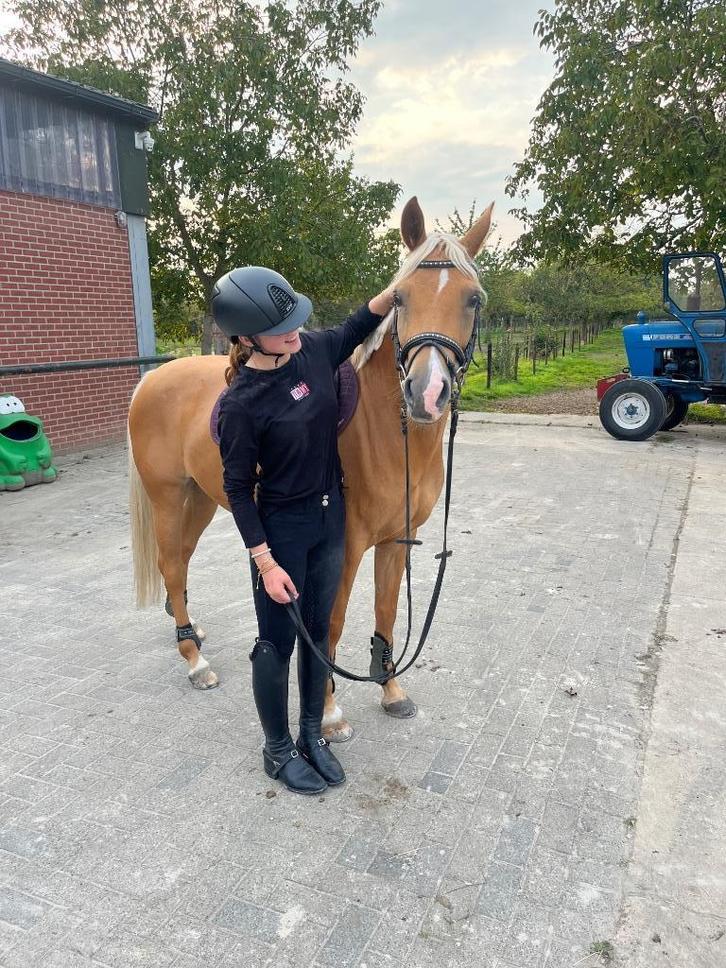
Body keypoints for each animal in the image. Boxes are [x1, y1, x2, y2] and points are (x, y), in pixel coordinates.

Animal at [128, 196, 493, 741]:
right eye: (400, 298)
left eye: (473, 300)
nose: (427, 394)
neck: (390, 434)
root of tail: (150, 380)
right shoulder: (345, 547)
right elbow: (330, 626)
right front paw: (331, 711)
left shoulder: (394, 539)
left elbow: (386, 612)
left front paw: (391, 690)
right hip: (169, 498)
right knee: (171, 563)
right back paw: (195, 660)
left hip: (201, 500)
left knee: (179, 562)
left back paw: (191, 630)